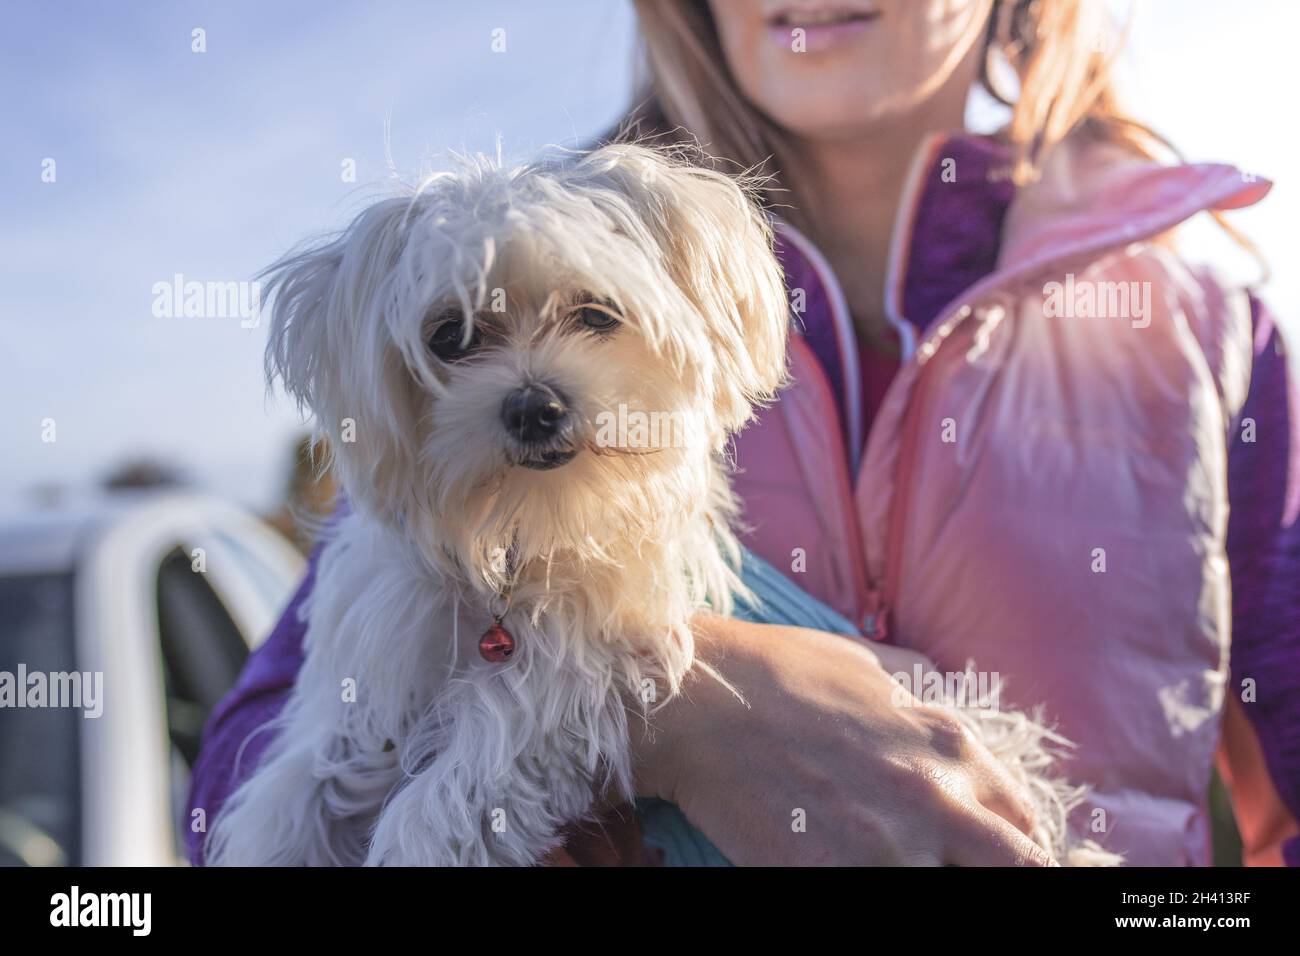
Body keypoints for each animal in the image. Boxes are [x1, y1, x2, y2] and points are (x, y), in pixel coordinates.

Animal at [208, 141, 1112, 868]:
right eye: (450, 336)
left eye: (595, 314)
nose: (535, 406)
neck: (521, 536)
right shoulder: (376, 669)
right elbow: (299, 786)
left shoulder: (588, 662)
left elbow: (467, 774)